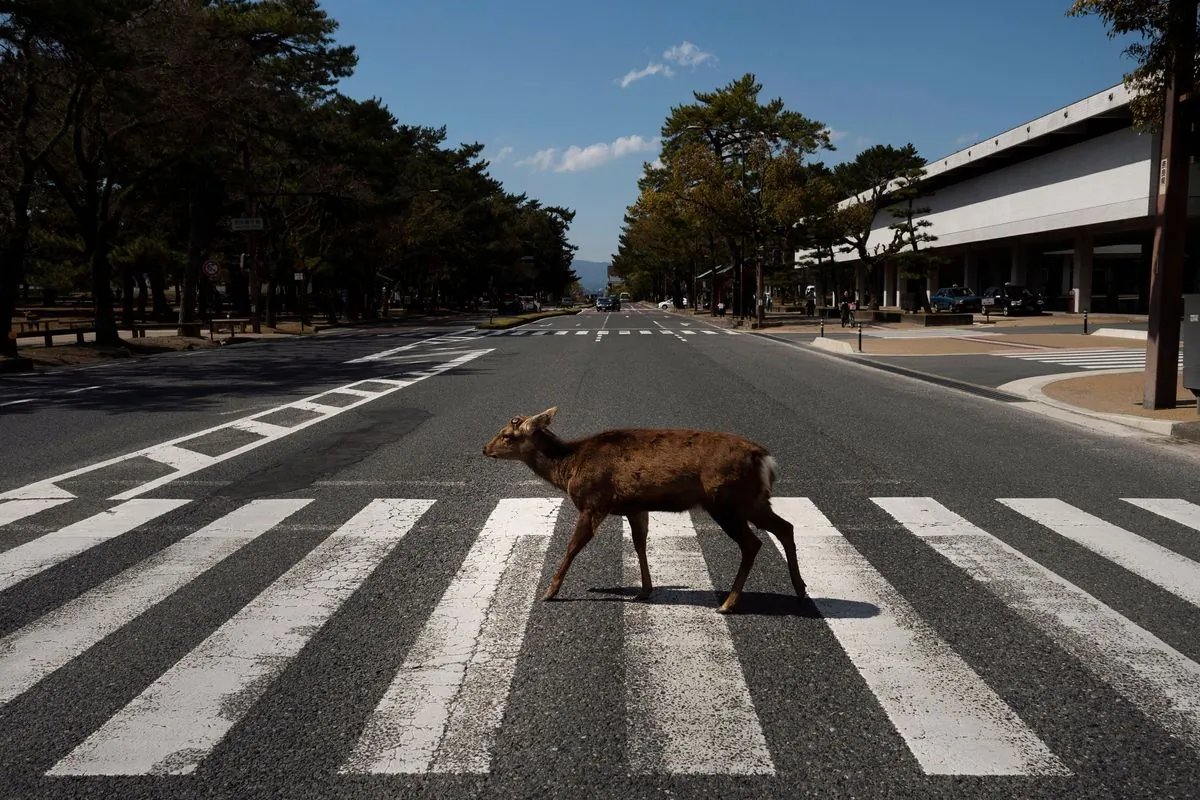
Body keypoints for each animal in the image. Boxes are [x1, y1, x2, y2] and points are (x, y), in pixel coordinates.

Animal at [480, 407, 806, 614]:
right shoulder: (635, 507)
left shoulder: (595, 501)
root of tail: (764, 460)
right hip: (753, 500)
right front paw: (645, 589)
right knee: (785, 527)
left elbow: (573, 546)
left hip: (726, 501)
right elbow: (640, 545)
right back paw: (800, 590)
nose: (485, 448)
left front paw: (550, 591)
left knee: (753, 542)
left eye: (507, 435)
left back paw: (728, 603)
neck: (569, 467)